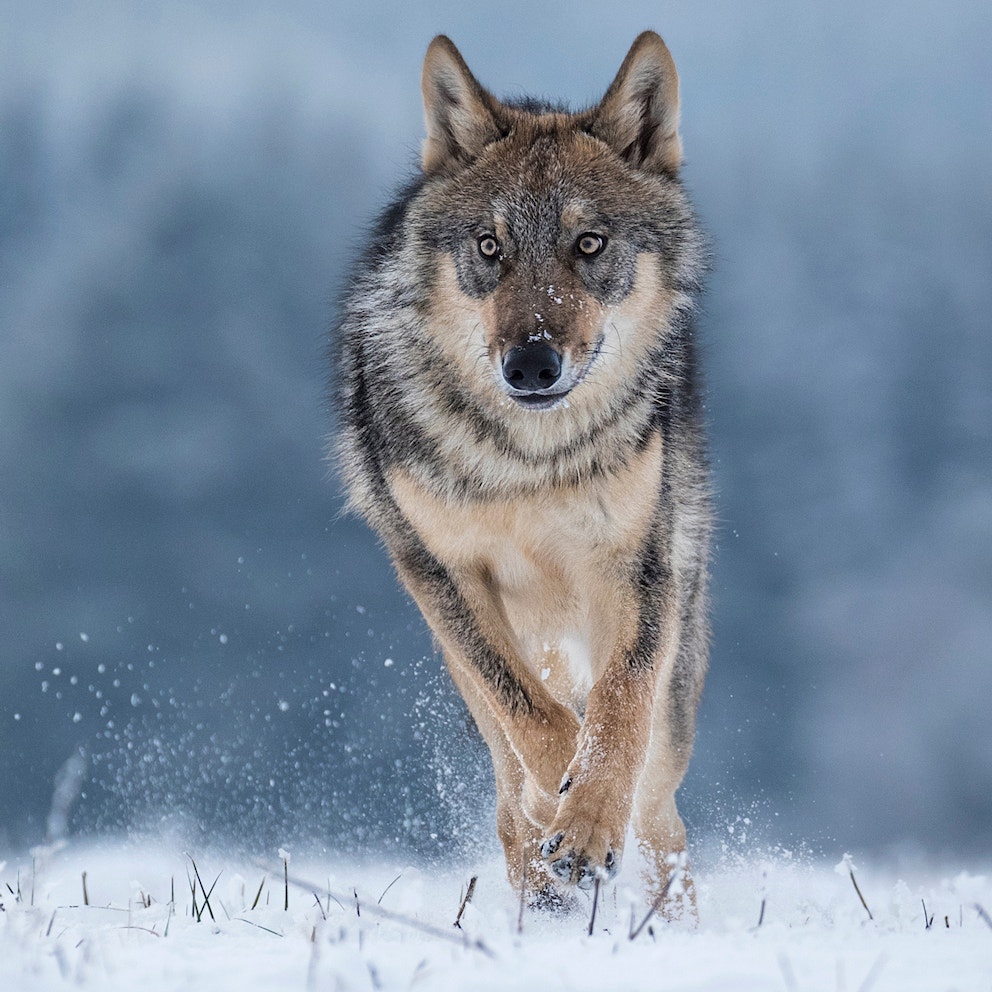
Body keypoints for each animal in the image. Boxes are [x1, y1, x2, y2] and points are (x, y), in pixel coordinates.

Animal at [332, 31, 710, 908]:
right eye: (490, 248)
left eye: (589, 244)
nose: (531, 364)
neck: (529, 464)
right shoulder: (441, 572)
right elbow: (532, 718)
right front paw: (557, 809)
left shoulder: (635, 567)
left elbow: (617, 711)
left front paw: (590, 819)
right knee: (508, 772)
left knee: (664, 818)